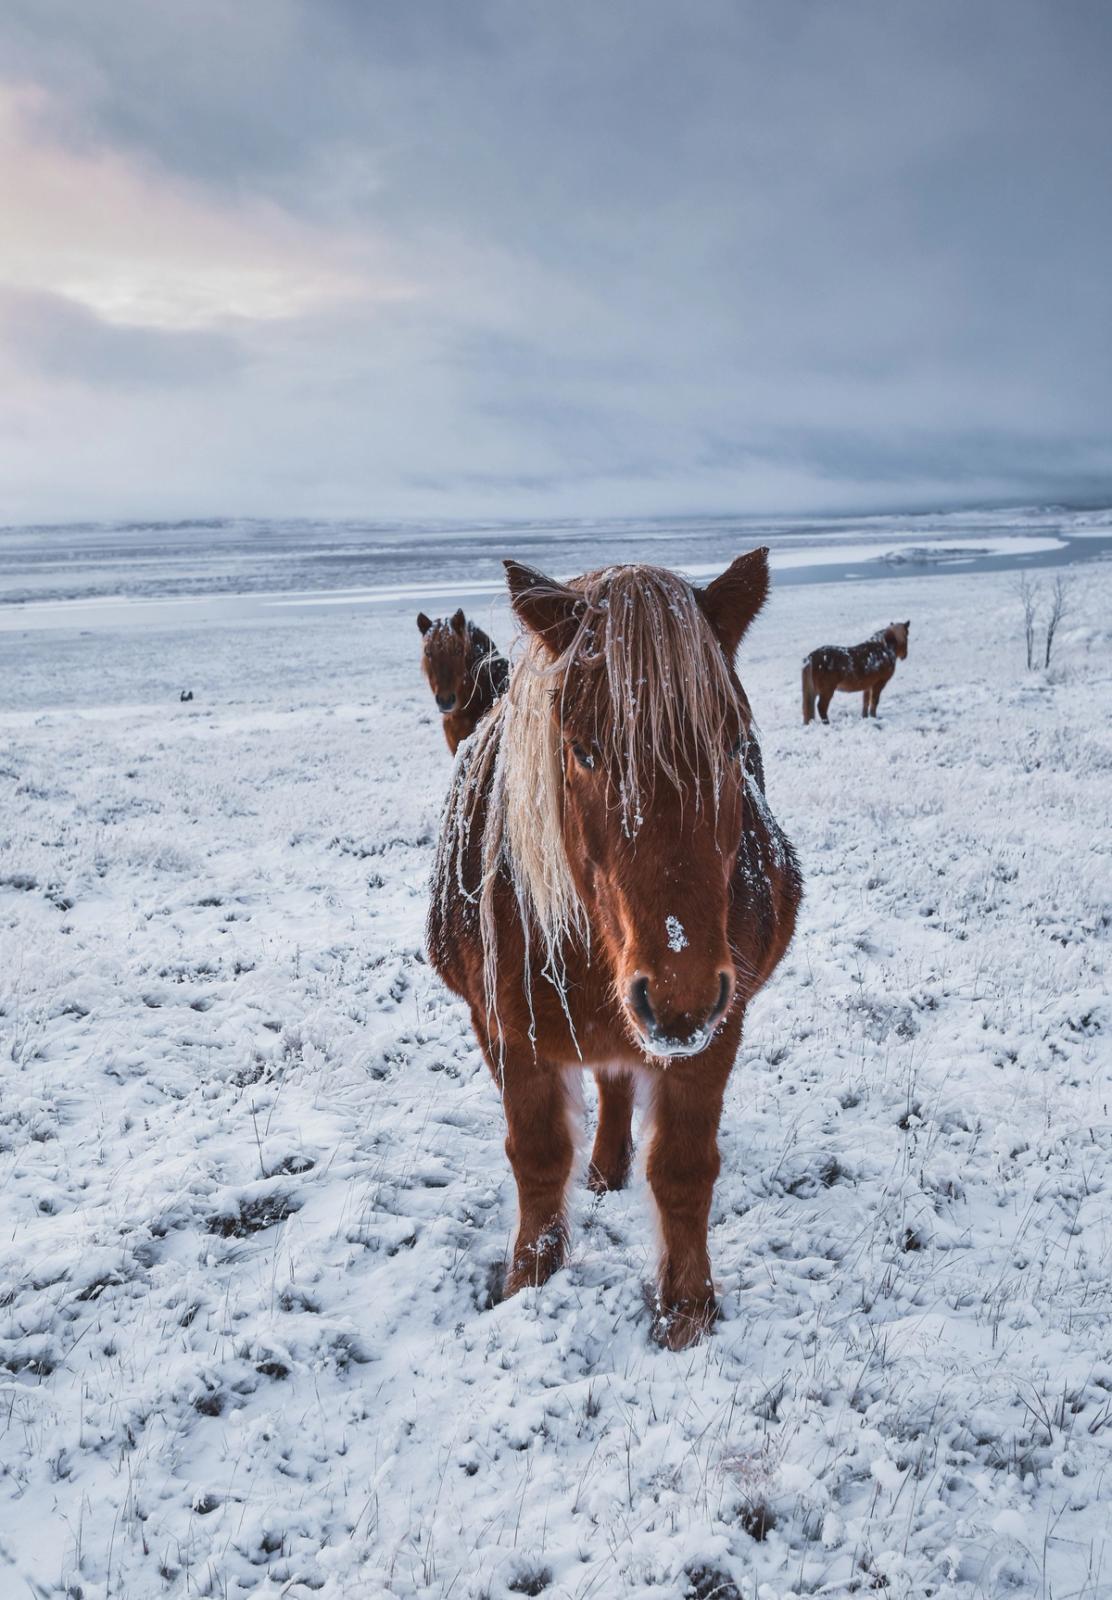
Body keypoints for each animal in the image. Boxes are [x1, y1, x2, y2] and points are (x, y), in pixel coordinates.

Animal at [427, 550, 802, 1349]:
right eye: (584, 750)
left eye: (735, 745)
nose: (679, 994)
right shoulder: (508, 1034)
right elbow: (537, 1159)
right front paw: (529, 1280)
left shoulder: (720, 1027)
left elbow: (684, 1169)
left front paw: (687, 1310)